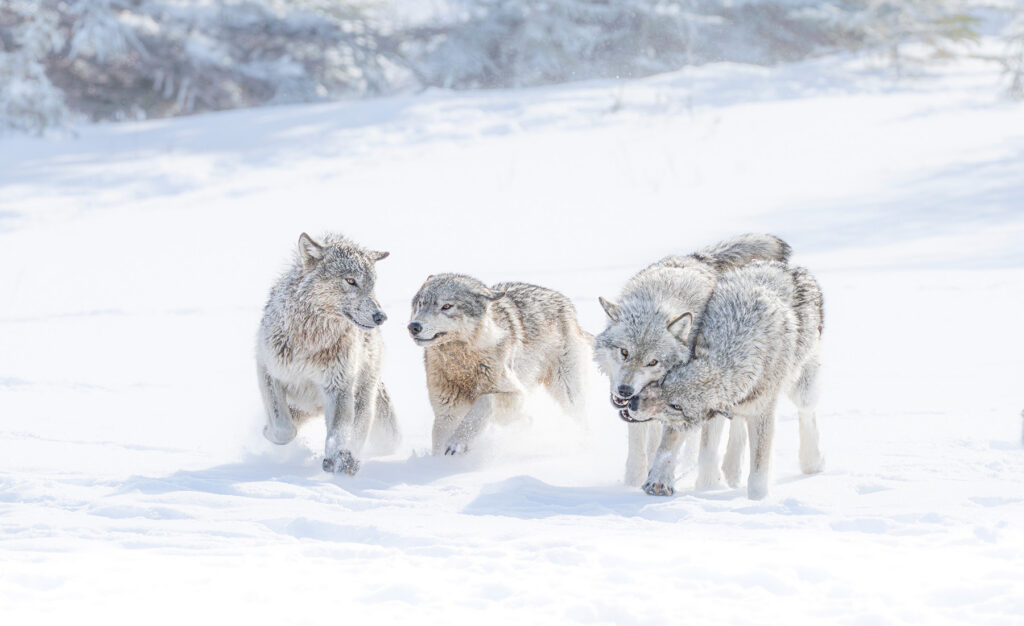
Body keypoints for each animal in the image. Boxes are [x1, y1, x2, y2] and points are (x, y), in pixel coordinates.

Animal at [256, 233, 399, 475]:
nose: (381, 316)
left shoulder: (339, 387)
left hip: (364, 399)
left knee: (358, 433)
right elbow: (284, 429)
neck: (312, 339)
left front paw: (338, 459)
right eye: (350, 281)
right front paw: (267, 431)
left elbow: (339, 433)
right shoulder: (267, 369)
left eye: (372, 285)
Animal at [407, 274, 593, 456]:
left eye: (446, 306)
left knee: (579, 419)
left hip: (567, 393)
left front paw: (457, 442)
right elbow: (439, 445)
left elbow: (485, 401)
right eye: (421, 304)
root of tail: (565, 302)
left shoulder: (515, 392)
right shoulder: (447, 413)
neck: (463, 365)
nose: (413, 326)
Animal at [593, 233, 791, 486]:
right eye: (624, 352)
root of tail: (699, 258)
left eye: (653, 362)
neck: (659, 298)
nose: (625, 390)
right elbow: (639, 447)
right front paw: (633, 483)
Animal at [618, 260, 826, 500]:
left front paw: (757, 501)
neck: (733, 347)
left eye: (676, 406)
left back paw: (812, 462)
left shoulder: (761, 413)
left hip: (802, 391)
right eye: (662, 382)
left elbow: (758, 474)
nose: (633, 402)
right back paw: (730, 471)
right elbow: (668, 449)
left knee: (807, 414)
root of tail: (792, 267)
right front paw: (659, 481)